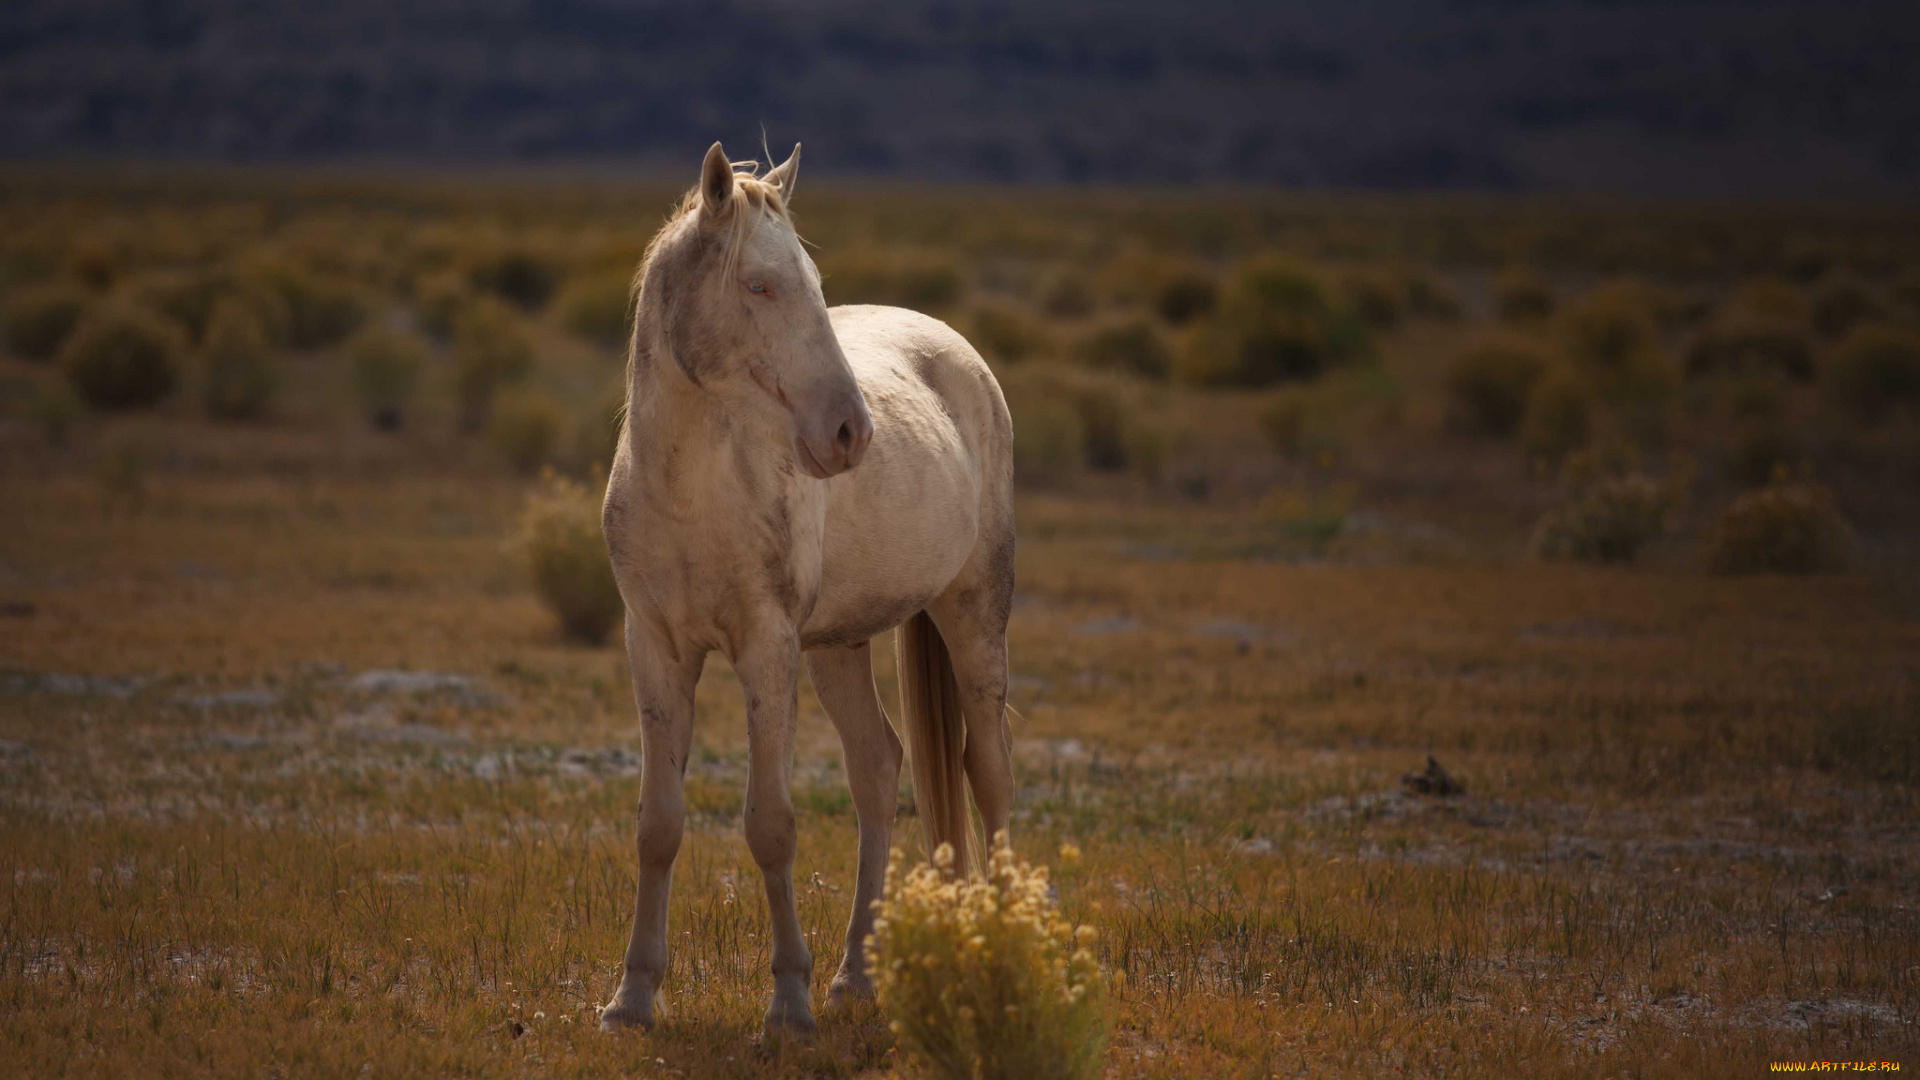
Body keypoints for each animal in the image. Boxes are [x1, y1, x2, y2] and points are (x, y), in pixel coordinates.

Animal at [599, 143, 1021, 1037]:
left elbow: (771, 824)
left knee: (989, 770)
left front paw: (787, 1001)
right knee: (879, 768)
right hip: (839, 646)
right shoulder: (655, 649)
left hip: (974, 612)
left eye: (814, 284)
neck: (694, 490)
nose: (850, 432)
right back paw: (854, 974)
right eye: (758, 285)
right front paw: (632, 998)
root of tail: (958, 350)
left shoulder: (766, 649)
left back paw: (1004, 937)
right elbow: (658, 823)